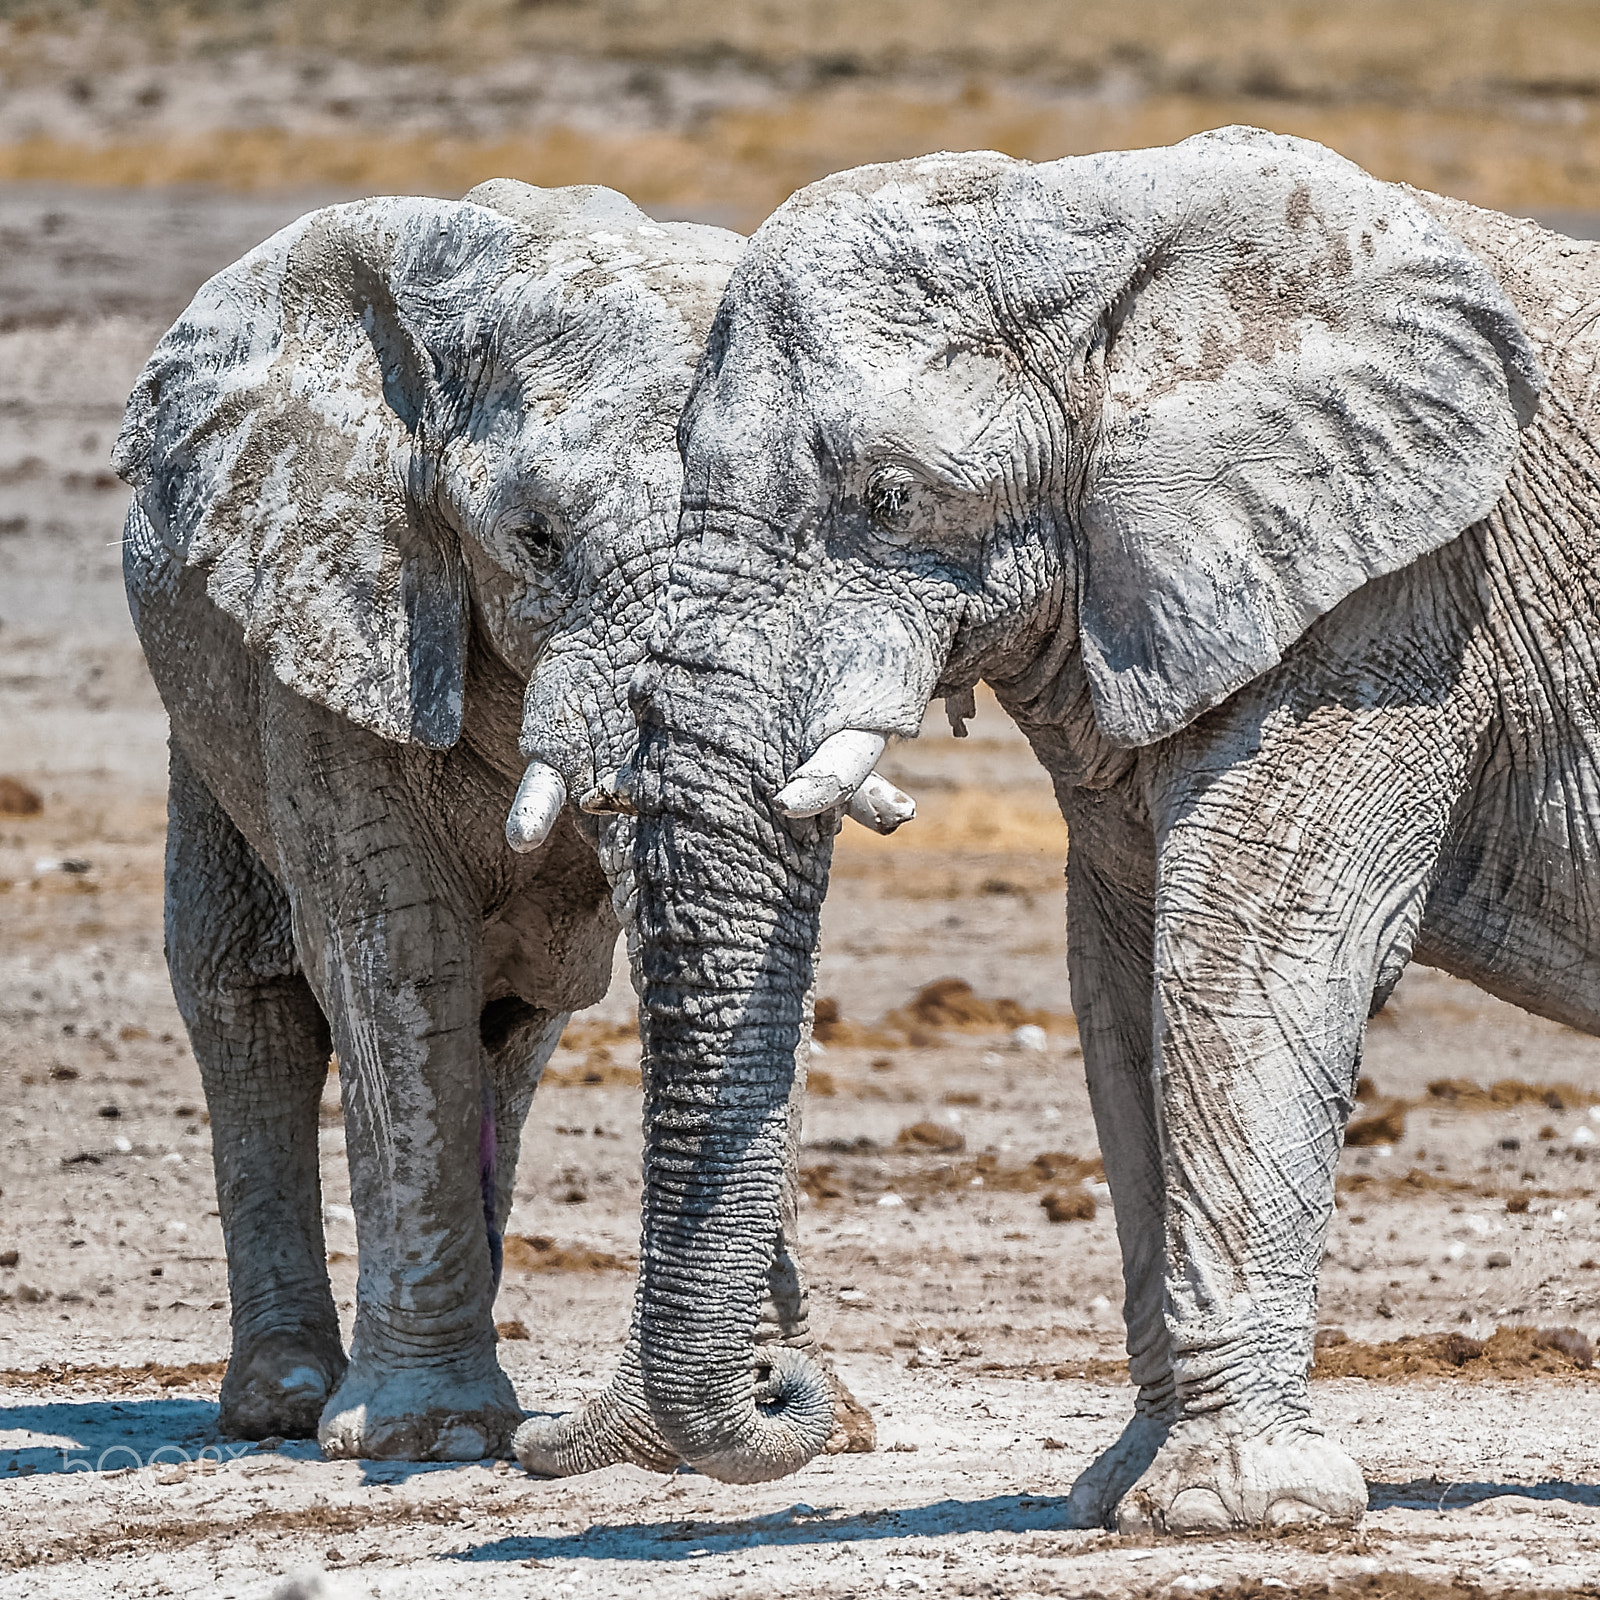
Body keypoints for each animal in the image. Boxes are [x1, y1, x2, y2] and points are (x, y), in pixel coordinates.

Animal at [112, 179, 885, 1462]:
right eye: (536, 540)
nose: (776, 1379)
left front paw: (833, 1417)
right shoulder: (337, 606)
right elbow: (391, 950)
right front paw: (427, 1435)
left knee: (519, 1015)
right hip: (205, 697)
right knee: (248, 996)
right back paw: (284, 1400)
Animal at [538, 125, 1600, 1515]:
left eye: (891, 499)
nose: (781, 1382)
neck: (1090, 216)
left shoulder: (1396, 603)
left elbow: (1254, 950)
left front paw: (1233, 1509)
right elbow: (1119, 979)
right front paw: (1125, 1492)